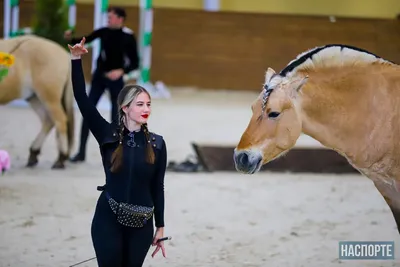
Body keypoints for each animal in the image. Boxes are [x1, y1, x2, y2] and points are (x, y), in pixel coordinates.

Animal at [0, 35, 74, 170]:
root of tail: (64, 54)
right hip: (35, 98)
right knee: (48, 121)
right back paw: (33, 154)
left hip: (49, 98)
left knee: (60, 121)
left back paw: (60, 159)